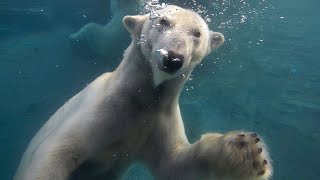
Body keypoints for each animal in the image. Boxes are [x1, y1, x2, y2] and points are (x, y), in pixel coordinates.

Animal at [14, 4, 270, 179]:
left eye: (197, 33)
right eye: (163, 21)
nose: (173, 58)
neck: (139, 97)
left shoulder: (156, 121)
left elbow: (174, 164)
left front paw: (248, 151)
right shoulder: (102, 110)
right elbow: (59, 151)